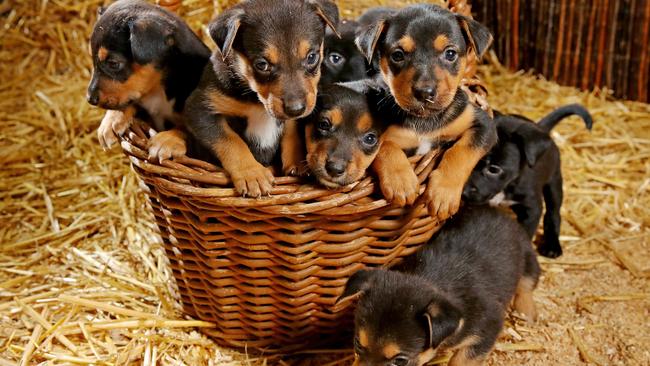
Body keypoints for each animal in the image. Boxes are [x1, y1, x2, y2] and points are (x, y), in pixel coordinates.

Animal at [180, 0, 336, 197]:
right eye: (262, 64)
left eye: (312, 57)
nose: (296, 109)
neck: (258, 102)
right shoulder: (199, 109)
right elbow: (231, 140)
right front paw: (252, 174)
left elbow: (291, 130)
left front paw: (297, 160)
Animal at [336, 206, 540, 366]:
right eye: (357, 343)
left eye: (400, 361)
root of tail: (500, 212)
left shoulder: (487, 327)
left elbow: (462, 360)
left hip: (528, 257)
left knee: (526, 285)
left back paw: (526, 313)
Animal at [352, 4, 494, 220]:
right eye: (398, 55)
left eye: (450, 53)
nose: (424, 92)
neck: (425, 119)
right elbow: (385, 146)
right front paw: (401, 181)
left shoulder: (482, 124)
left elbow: (461, 151)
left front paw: (444, 193)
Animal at [460, 103, 592, 258]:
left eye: (494, 169)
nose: (463, 193)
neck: (508, 185)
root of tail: (541, 127)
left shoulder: (532, 208)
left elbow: (525, 233)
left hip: (554, 182)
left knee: (553, 213)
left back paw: (552, 246)